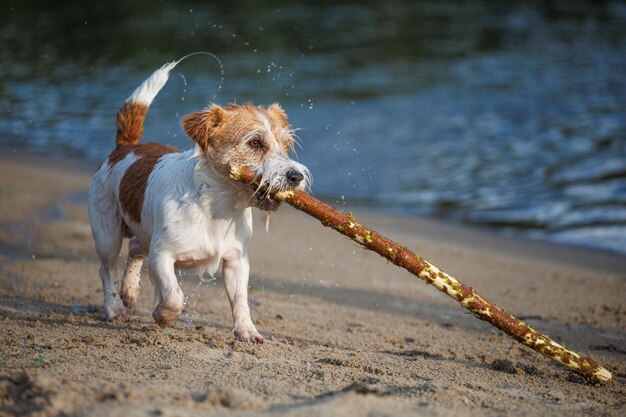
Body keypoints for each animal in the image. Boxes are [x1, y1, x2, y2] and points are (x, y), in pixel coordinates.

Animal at [86, 59, 310, 344]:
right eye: (255, 143)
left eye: (286, 145)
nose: (296, 176)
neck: (219, 207)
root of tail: (125, 147)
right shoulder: (162, 255)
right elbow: (174, 296)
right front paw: (162, 316)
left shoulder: (237, 261)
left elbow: (240, 300)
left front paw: (247, 331)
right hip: (107, 234)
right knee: (107, 269)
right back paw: (114, 307)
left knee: (135, 246)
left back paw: (130, 289)